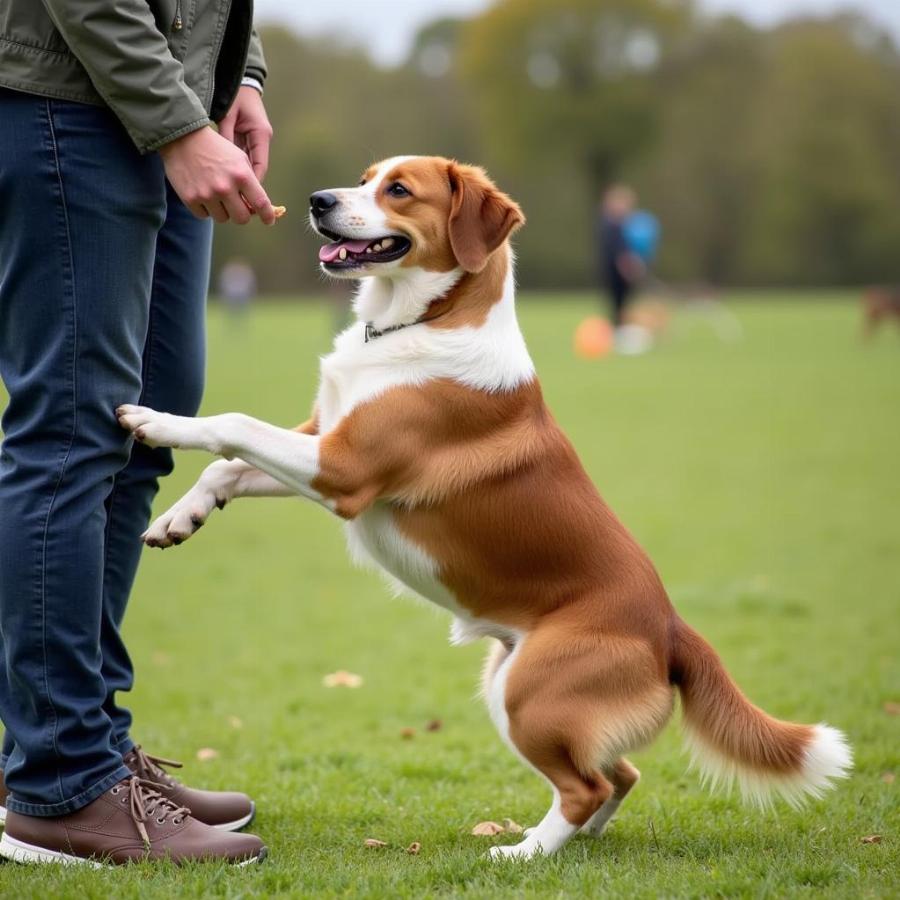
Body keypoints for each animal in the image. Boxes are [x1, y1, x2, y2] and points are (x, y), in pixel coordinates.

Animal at [116, 158, 856, 860]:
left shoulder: (344, 467)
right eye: (363, 179)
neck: (418, 322)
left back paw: (522, 853)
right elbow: (229, 464)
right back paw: (572, 841)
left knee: (587, 786)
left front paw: (155, 420)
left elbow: (231, 424)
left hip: (526, 693)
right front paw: (180, 518)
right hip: (509, 682)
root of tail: (673, 628)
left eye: (399, 190)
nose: (318, 201)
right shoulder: (322, 440)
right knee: (619, 775)